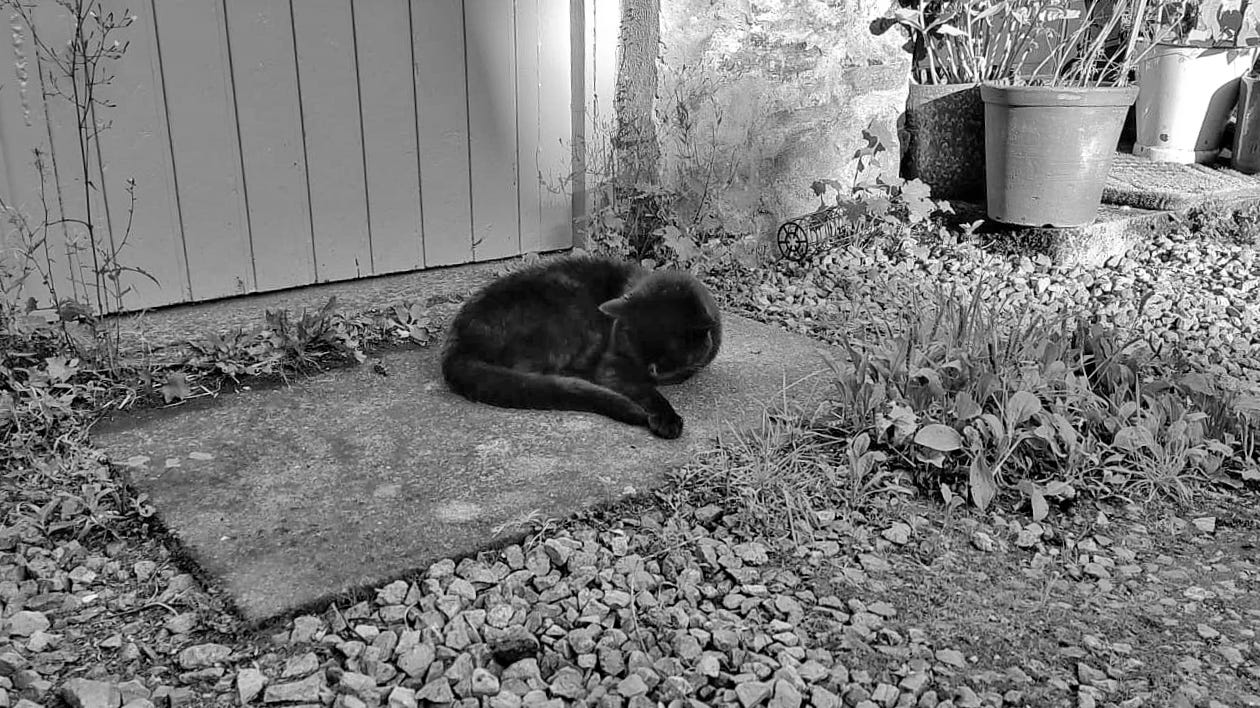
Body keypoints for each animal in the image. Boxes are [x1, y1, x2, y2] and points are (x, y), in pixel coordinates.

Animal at [441, 253, 720, 435]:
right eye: (634, 347)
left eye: (664, 359)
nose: (650, 371)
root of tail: (458, 343)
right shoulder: (613, 367)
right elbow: (647, 391)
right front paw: (667, 418)